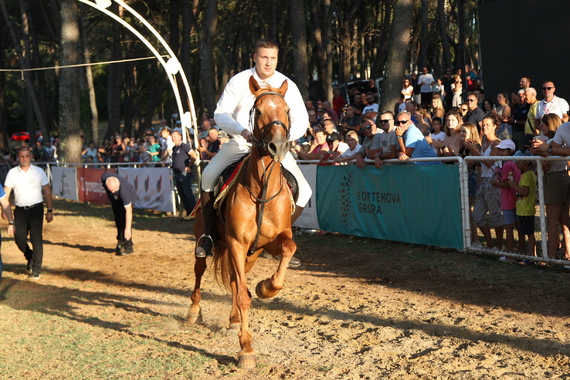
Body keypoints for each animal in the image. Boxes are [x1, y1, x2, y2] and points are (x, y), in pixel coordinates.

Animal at [190, 75, 298, 370]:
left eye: (287, 110)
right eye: (258, 111)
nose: (278, 146)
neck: (261, 189)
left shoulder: (268, 242)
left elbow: (288, 249)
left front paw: (267, 287)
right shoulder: (237, 243)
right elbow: (242, 296)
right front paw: (246, 349)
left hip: (249, 255)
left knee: (236, 281)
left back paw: (234, 318)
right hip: (207, 242)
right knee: (200, 270)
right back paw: (193, 311)